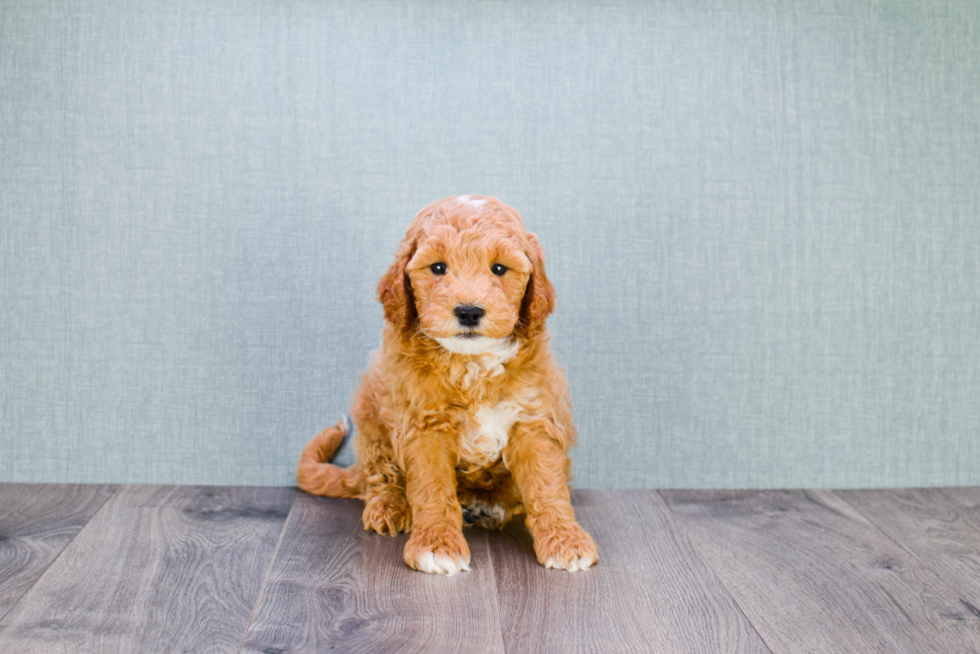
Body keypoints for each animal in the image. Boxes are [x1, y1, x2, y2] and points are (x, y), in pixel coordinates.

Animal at [294, 197, 596, 576]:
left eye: (499, 269)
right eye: (438, 267)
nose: (468, 311)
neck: (473, 363)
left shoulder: (533, 419)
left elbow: (547, 483)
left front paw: (565, 540)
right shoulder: (424, 427)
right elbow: (431, 488)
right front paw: (436, 545)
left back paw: (490, 505)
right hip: (370, 415)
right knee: (379, 474)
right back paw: (388, 506)